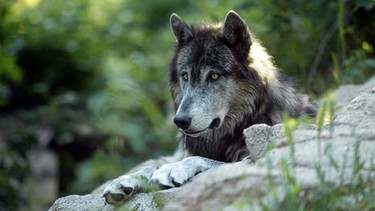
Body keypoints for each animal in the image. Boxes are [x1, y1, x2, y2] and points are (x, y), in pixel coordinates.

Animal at [101, 10, 316, 205]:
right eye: (185, 76)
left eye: (213, 76)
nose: (180, 121)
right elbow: (153, 163)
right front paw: (124, 180)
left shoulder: (250, 159)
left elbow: (200, 160)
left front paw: (172, 168)